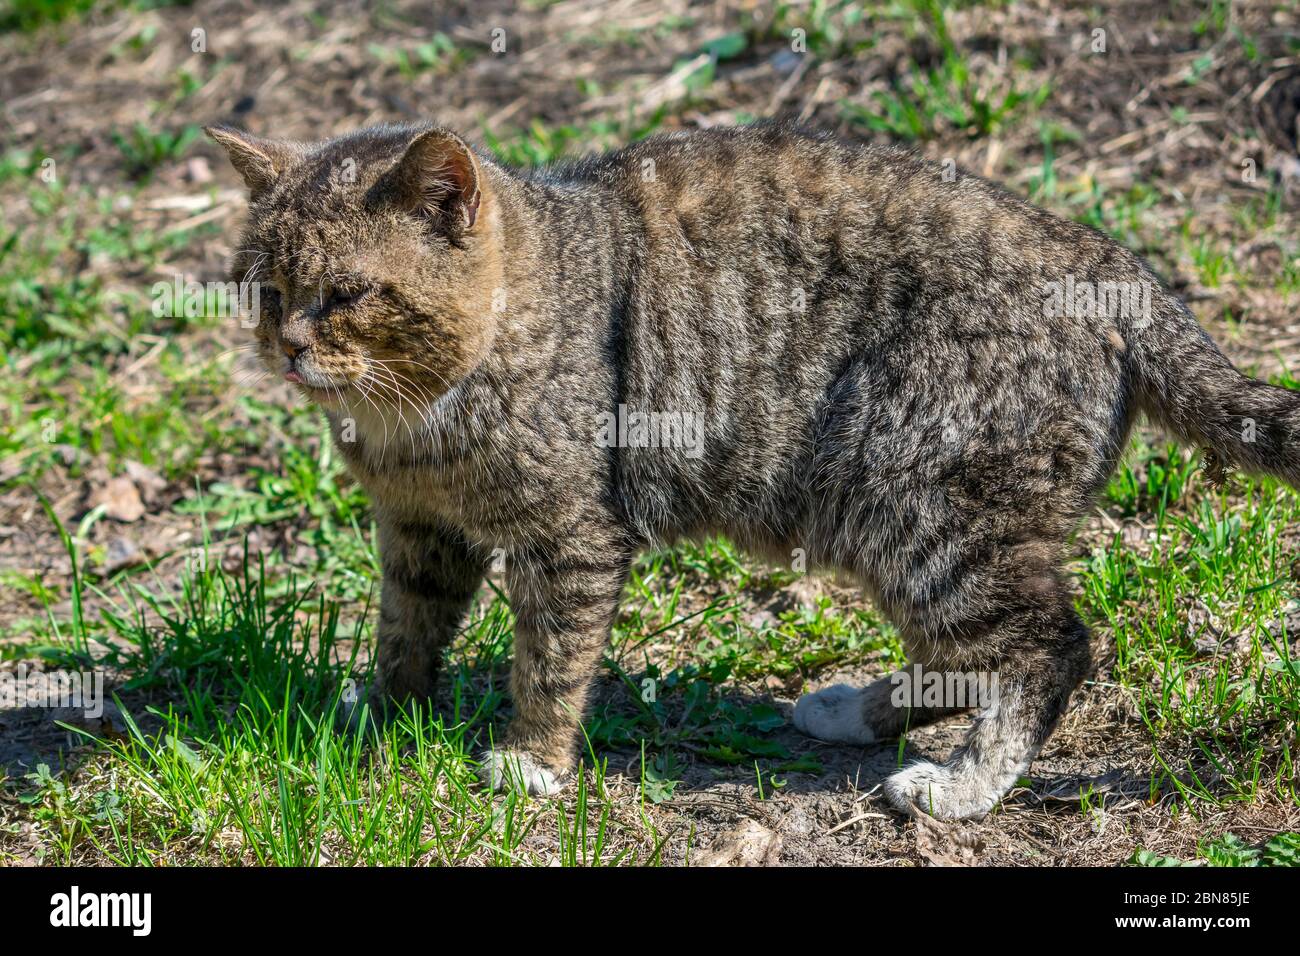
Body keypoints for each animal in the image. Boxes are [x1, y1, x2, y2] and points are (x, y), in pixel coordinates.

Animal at [208, 119, 1294, 816]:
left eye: (350, 293)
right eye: (267, 287)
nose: (290, 347)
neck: (416, 422)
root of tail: (1113, 266)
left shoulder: (572, 538)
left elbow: (549, 660)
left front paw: (531, 760)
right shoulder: (419, 530)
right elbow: (405, 632)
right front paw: (385, 716)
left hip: (922, 505)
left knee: (1049, 647)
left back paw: (963, 788)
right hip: (896, 519)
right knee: (964, 654)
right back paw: (857, 711)